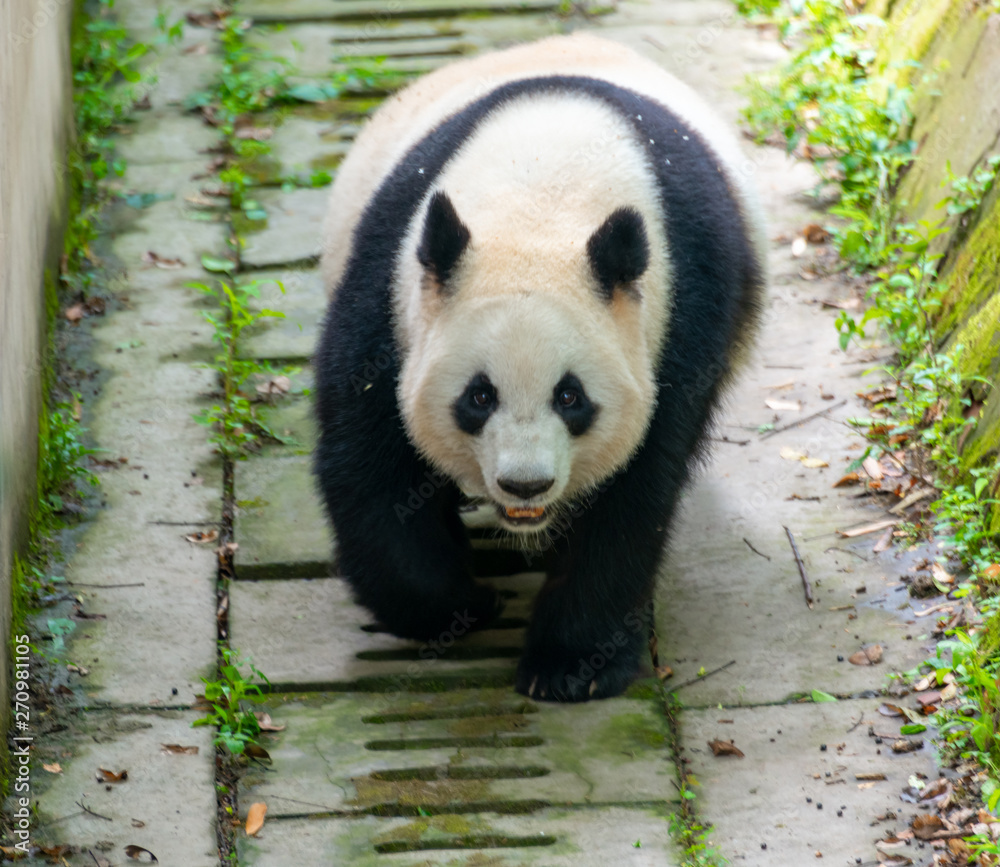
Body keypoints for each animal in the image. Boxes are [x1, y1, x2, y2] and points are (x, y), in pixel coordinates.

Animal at [314, 33, 766, 702]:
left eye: (570, 397)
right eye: (478, 397)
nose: (525, 485)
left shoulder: (685, 308)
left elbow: (637, 491)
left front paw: (572, 665)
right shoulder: (392, 286)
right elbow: (371, 464)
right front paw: (457, 606)